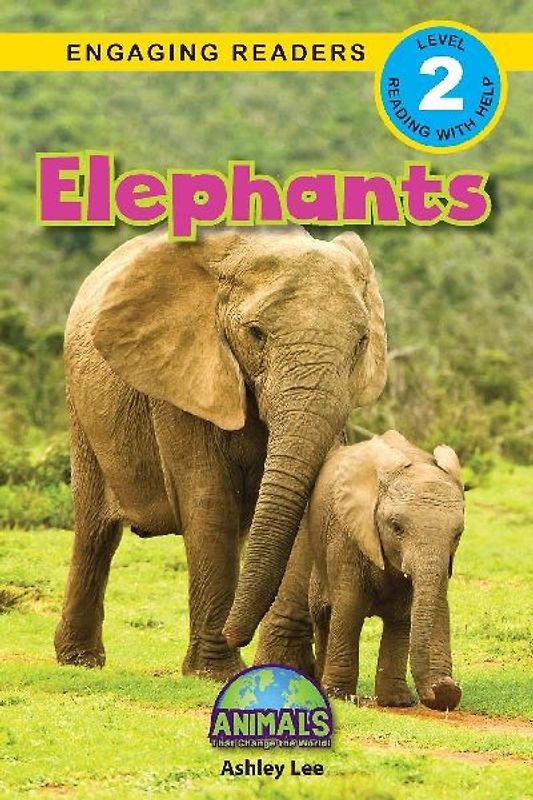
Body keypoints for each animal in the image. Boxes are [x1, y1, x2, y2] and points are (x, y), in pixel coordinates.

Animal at [54, 225, 387, 679]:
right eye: (256, 333)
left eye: (361, 342)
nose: (235, 635)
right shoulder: (180, 373)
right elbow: (208, 499)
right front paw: (216, 672)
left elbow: (310, 502)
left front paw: (284, 668)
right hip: (82, 406)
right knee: (94, 531)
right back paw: (79, 661)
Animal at [305, 430, 464, 710]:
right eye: (396, 527)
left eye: (458, 535)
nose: (443, 690)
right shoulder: (347, 534)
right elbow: (349, 607)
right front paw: (339, 695)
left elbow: (403, 615)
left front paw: (398, 702)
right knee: (322, 616)